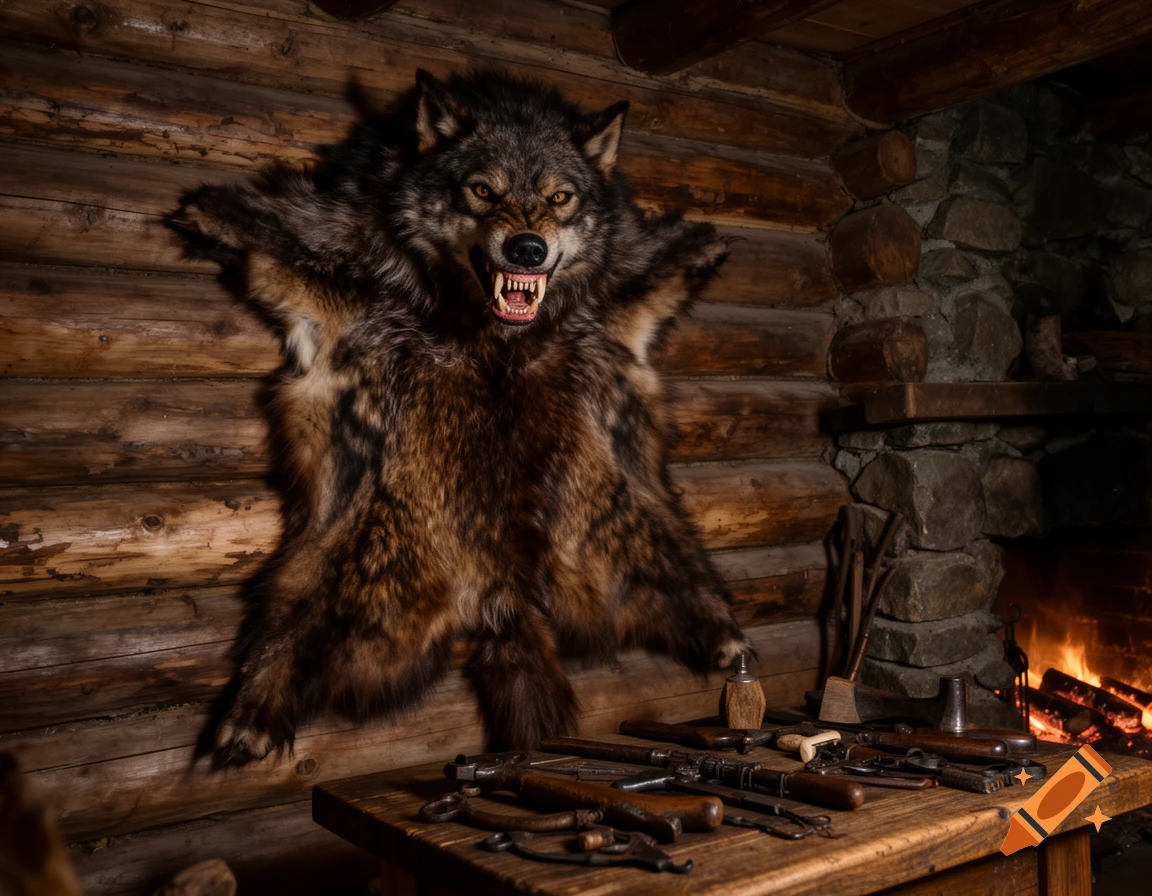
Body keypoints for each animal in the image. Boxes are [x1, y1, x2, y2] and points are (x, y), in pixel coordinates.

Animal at [169, 69, 748, 764]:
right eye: (482, 191)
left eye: (560, 198)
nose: (527, 248)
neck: (497, 338)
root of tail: (504, 596)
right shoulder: (340, 253)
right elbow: (268, 228)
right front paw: (208, 209)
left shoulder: (618, 284)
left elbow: (662, 253)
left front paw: (708, 240)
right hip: (334, 573)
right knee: (279, 642)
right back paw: (250, 715)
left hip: (641, 523)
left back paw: (726, 635)